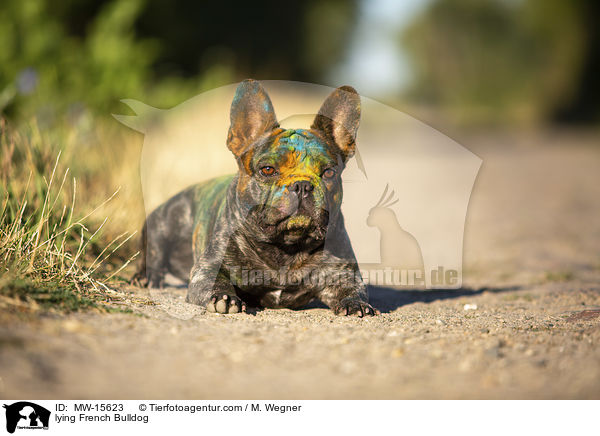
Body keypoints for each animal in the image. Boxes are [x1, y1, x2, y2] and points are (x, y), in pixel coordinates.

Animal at [133, 79, 378, 316]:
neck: (286, 246)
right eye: (267, 170)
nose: (302, 185)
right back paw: (146, 277)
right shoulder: (206, 270)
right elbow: (215, 282)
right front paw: (224, 297)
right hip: (165, 221)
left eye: (328, 173)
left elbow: (352, 288)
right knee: (154, 253)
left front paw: (355, 303)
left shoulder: (342, 273)